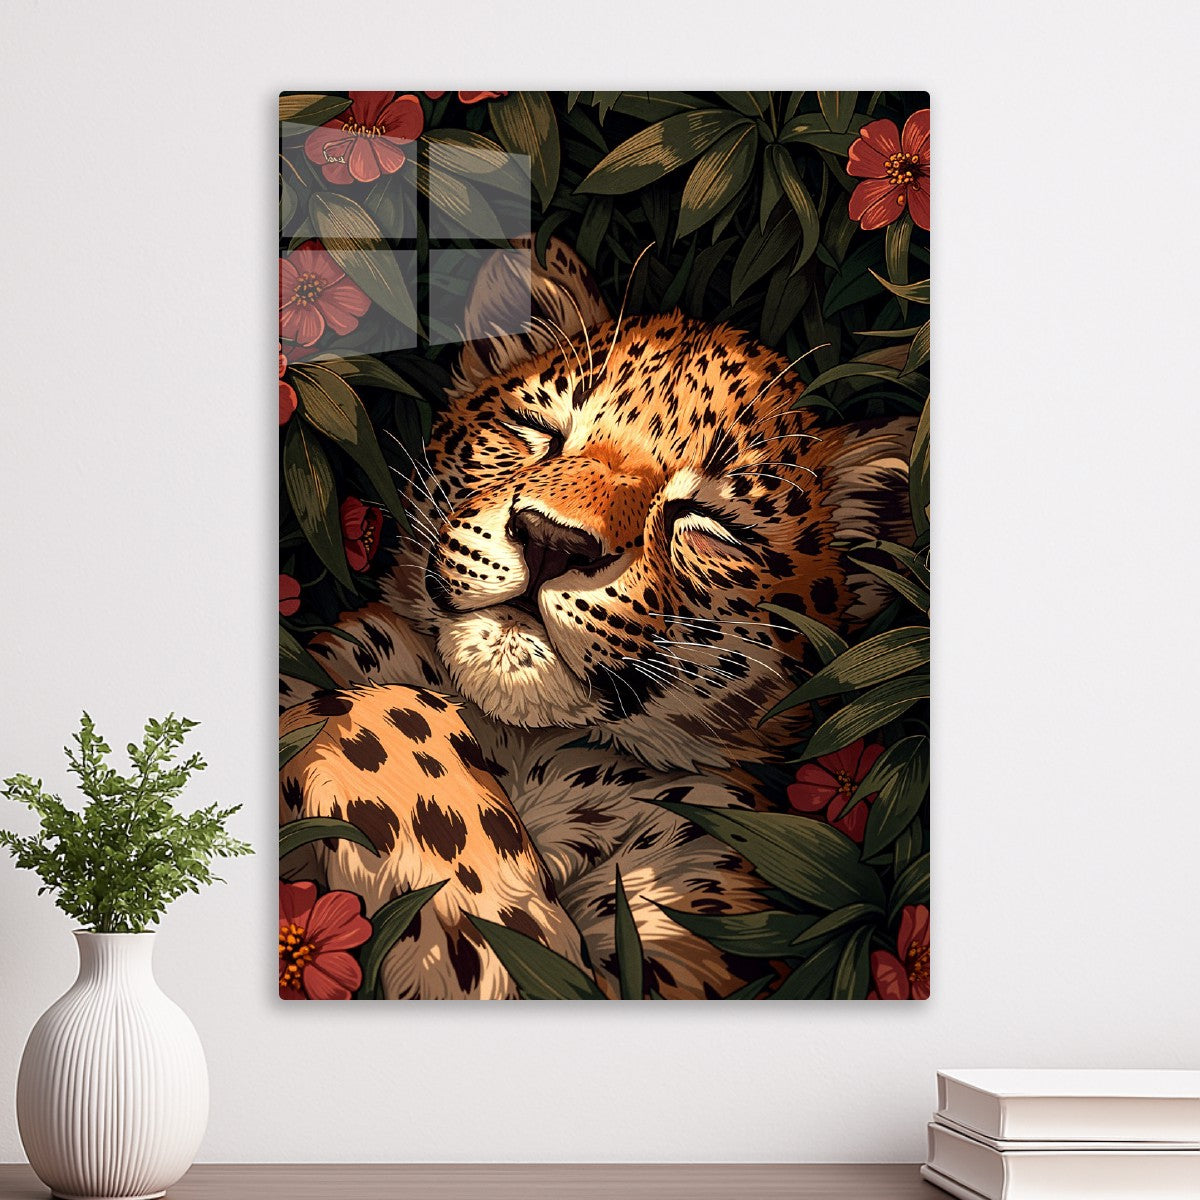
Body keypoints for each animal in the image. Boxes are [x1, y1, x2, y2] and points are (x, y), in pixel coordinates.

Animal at [279, 237, 917, 1000]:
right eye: (538, 431)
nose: (553, 541)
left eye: (710, 523)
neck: (518, 744)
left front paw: (478, 930)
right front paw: (468, 909)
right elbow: (377, 705)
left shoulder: (686, 948)